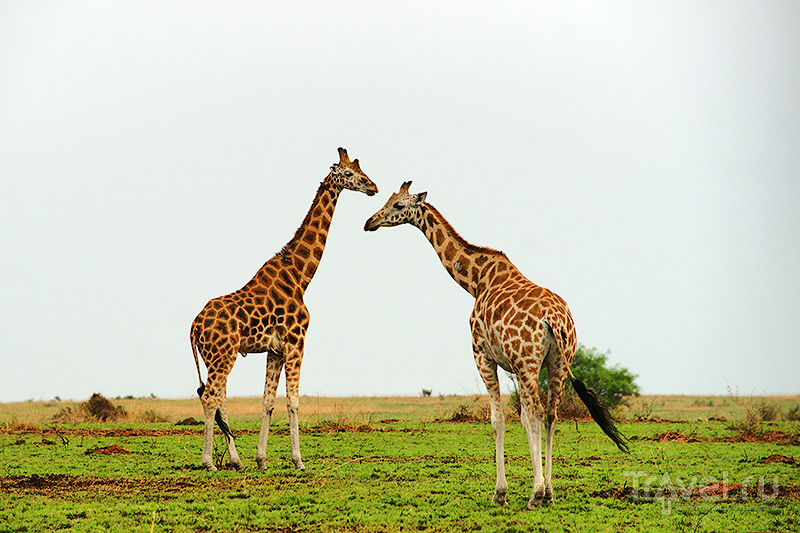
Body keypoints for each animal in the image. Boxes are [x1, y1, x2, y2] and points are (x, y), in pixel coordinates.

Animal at [194, 145, 382, 470]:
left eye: (362, 170)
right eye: (349, 173)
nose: (373, 187)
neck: (299, 275)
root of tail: (192, 326)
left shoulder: (275, 349)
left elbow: (267, 402)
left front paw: (261, 460)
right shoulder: (297, 341)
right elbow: (293, 401)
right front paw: (299, 461)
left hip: (214, 358)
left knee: (219, 400)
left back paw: (237, 461)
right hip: (222, 355)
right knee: (210, 398)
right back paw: (209, 462)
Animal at [366, 182, 628, 508]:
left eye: (399, 205)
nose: (370, 222)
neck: (476, 280)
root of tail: (554, 320)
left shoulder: (483, 355)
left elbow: (499, 419)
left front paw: (500, 492)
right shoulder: (514, 366)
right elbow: (523, 418)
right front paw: (533, 487)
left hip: (530, 363)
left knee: (539, 413)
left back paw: (536, 495)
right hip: (557, 363)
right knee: (550, 415)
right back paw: (549, 493)